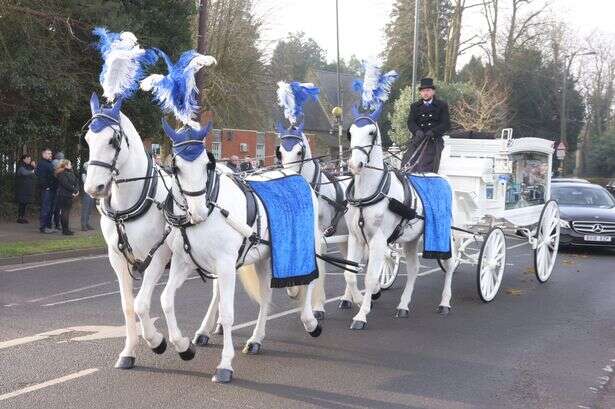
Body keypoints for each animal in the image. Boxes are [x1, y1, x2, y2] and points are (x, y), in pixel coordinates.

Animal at [160, 125, 322, 382]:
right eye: (176, 167)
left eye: (207, 164)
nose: (198, 211)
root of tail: (296, 176)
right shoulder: (183, 262)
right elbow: (166, 299)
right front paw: (183, 347)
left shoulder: (226, 264)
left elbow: (227, 313)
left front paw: (225, 364)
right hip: (265, 258)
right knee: (266, 296)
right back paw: (256, 339)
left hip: (306, 244)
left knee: (311, 278)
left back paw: (310, 320)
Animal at [346, 113, 458, 330]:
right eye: (350, 132)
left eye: (371, 132)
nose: (355, 165)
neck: (370, 192)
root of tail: (441, 178)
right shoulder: (355, 238)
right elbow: (350, 275)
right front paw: (357, 299)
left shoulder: (378, 241)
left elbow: (370, 278)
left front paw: (361, 315)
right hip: (411, 239)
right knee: (413, 269)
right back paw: (404, 306)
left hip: (444, 234)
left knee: (450, 264)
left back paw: (445, 303)